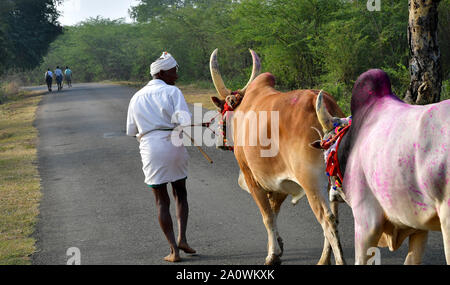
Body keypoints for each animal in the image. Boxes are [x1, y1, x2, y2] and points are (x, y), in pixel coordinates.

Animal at [209, 48, 346, 264]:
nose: (219, 142)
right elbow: (274, 211)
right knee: (336, 217)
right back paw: (324, 259)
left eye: (221, 111)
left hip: (312, 184)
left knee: (328, 220)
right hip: (332, 182)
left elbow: (267, 216)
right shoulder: (280, 182)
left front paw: (273, 253)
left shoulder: (252, 177)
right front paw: (278, 245)